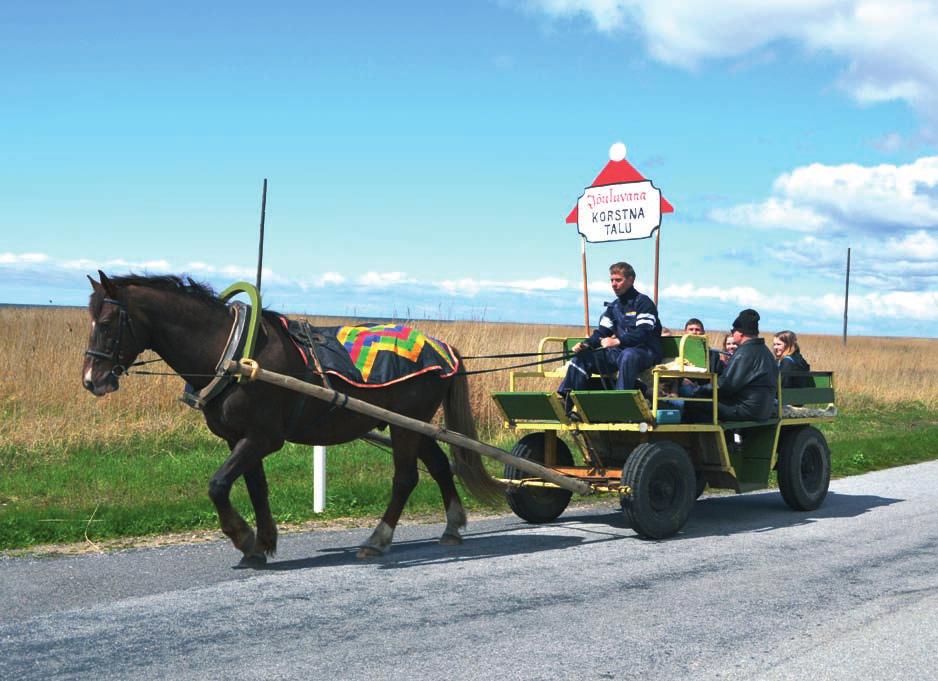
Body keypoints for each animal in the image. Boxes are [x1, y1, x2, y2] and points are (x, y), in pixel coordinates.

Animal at [81, 270, 504, 564]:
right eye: (90, 320)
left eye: (107, 324)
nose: (91, 380)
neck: (233, 352)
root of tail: (441, 346)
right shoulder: (239, 438)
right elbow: (256, 488)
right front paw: (262, 543)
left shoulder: (263, 437)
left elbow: (217, 485)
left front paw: (242, 536)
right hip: (409, 423)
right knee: (439, 464)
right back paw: (452, 527)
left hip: (406, 423)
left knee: (405, 479)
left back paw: (377, 539)